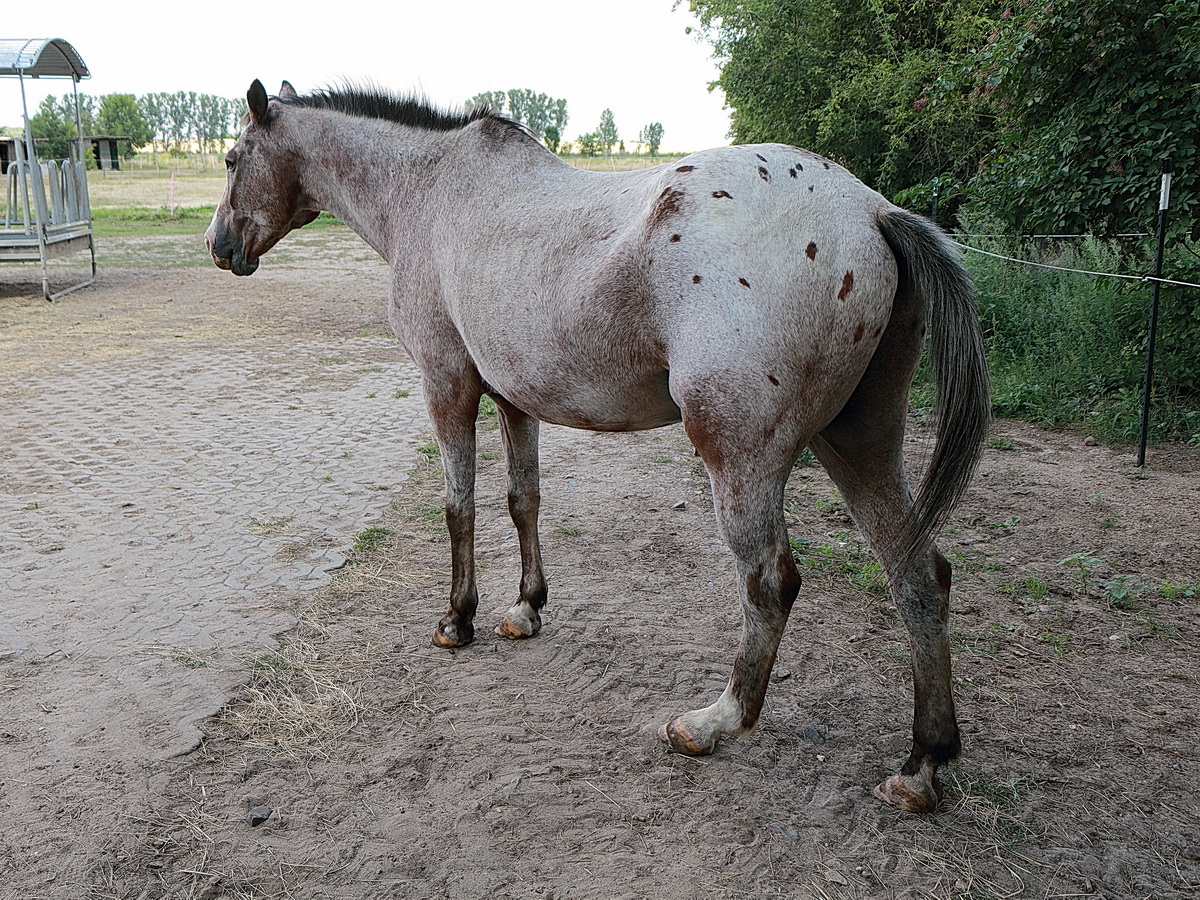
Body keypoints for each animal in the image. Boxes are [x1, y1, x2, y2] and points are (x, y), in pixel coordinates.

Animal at [208, 81, 993, 816]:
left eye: (231, 158)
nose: (220, 247)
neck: (429, 192)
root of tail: (870, 212)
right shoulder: (513, 400)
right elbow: (522, 500)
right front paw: (525, 609)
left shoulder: (446, 385)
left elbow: (458, 507)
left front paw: (457, 620)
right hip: (858, 442)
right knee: (918, 574)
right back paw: (922, 763)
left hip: (742, 457)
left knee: (772, 582)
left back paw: (713, 723)